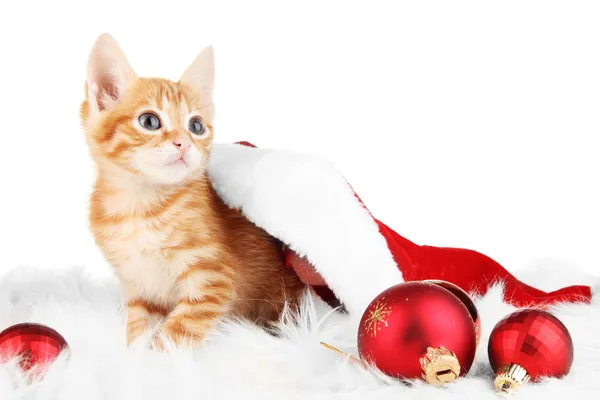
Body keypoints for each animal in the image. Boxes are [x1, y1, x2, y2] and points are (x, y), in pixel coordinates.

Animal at [81, 34, 304, 350]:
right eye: (149, 121)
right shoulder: (137, 285)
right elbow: (137, 326)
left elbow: (177, 332)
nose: (184, 143)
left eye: (196, 126)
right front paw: (133, 353)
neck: (140, 206)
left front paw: (156, 358)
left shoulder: (214, 278)